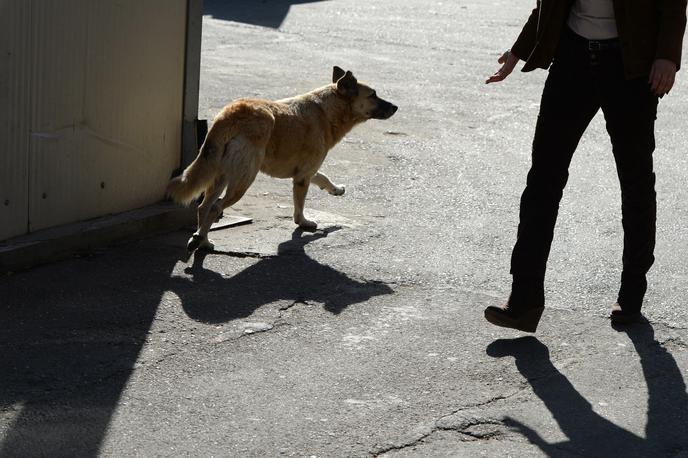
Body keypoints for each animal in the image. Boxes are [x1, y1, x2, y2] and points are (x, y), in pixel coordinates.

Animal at [166, 66, 398, 254]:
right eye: (373, 95)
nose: (396, 107)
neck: (327, 110)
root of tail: (231, 114)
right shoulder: (303, 177)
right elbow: (300, 205)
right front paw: (303, 222)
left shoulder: (306, 171)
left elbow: (322, 177)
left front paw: (336, 189)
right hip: (242, 181)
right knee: (215, 208)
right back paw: (199, 239)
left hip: (221, 175)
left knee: (203, 207)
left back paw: (202, 241)